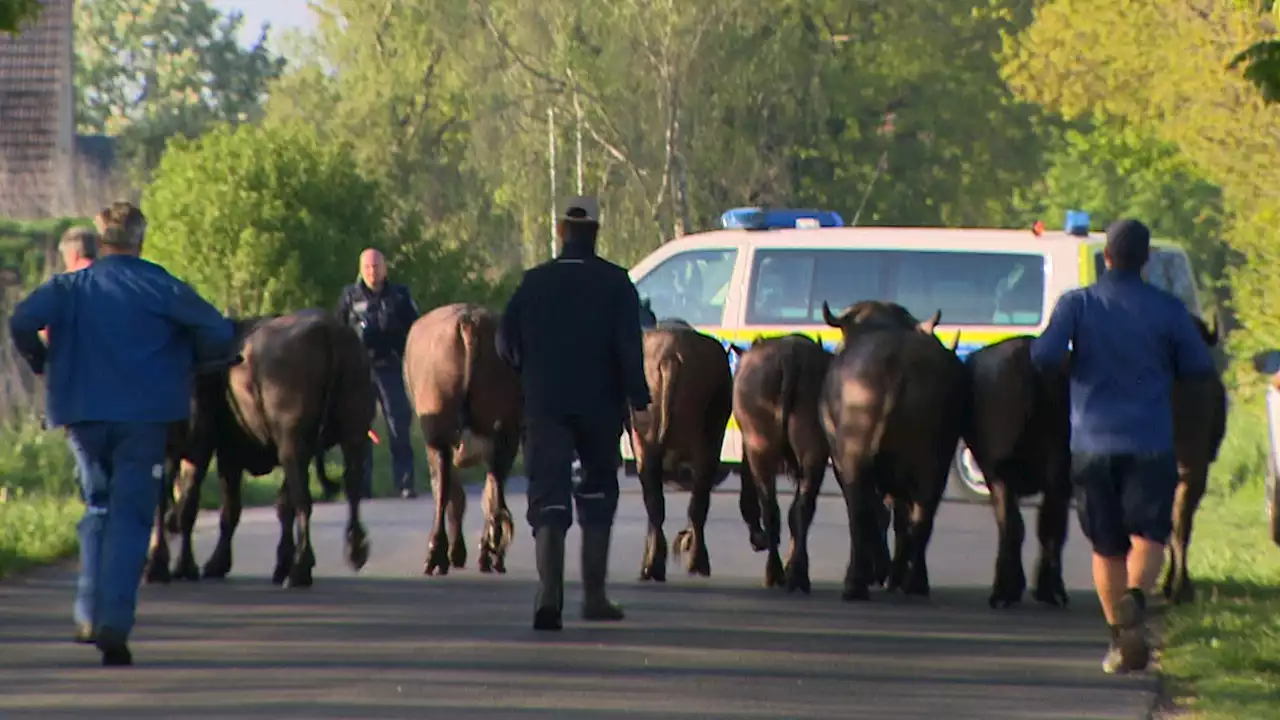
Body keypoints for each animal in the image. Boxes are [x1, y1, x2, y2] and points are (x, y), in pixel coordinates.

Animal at [401, 299, 517, 573]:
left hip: (439, 436)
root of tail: (468, 321)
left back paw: (439, 554)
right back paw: (490, 553)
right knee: (493, 490)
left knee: (445, 488)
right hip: (504, 433)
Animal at [634, 322, 752, 579]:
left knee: (658, 501)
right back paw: (693, 561)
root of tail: (671, 356)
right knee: (696, 501)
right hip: (707, 442)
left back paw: (658, 565)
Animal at [732, 333, 829, 589]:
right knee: (802, 510)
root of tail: (790, 356)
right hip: (814, 451)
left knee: (771, 511)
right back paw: (797, 573)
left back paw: (775, 572)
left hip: (760, 448)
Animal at [824, 299, 962, 597]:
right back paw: (913, 581)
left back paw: (857, 581)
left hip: (854, 458)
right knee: (922, 516)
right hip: (934, 464)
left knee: (861, 511)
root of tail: (897, 365)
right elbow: (897, 518)